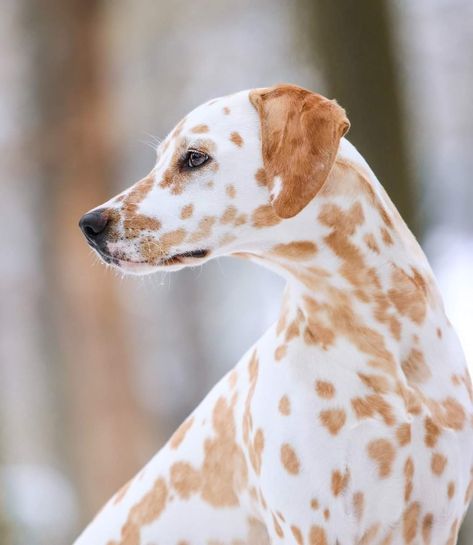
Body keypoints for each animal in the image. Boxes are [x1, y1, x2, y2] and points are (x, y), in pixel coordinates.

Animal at [77, 84, 472, 544]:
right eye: (160, 159)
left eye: (193, 157)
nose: (89, 224)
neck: (382, 338)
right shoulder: (309, 525)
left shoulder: (436, 521)